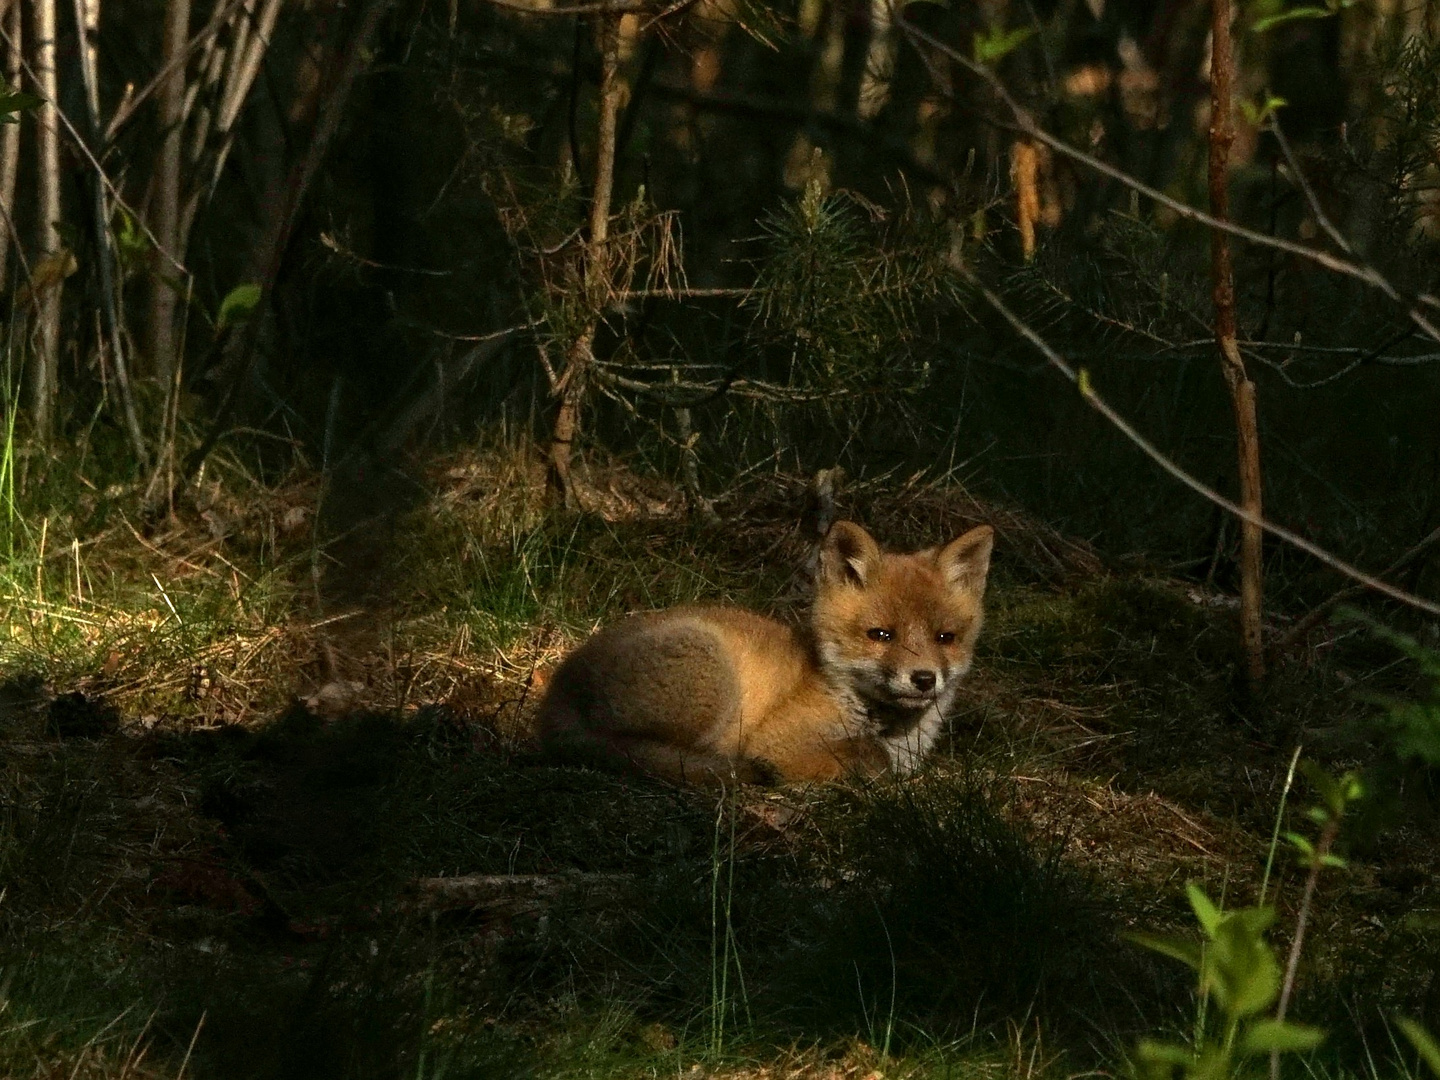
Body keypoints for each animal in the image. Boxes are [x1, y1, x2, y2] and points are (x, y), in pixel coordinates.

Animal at [535, 521, 996, 789]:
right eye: (880, 635)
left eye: (945, 637)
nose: (924, 678)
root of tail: (558, 690)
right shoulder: (778, 741)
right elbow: (870, 759)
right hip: (714, 680)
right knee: (640, 753)